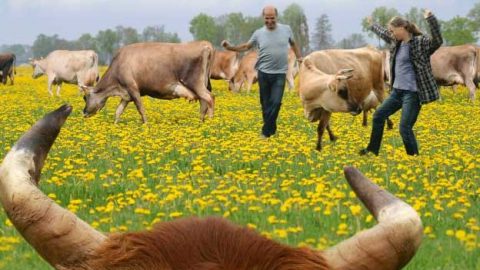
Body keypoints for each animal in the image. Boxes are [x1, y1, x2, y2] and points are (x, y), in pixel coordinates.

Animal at [82, 41, 214, 123]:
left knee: (210, 98)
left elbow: (140, 108)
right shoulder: (126, 94)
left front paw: (145, 125)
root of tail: (205, 45)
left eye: (84, 98)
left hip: (195, 82)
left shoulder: (133, 88)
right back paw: (201, 122)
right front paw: (115, 125)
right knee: (204, 102)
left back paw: (210, 123)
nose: (84, 112)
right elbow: (118, 111)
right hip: (201, 84)